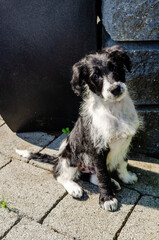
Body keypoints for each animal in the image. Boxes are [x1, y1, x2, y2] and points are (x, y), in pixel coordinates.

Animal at [16, 46, 140, 211]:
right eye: (95, 76)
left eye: (115, 66)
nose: (115, 89)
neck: (114, 110)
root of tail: (59, 157)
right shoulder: (97, 150)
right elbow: (102, 176)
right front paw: (107, 199)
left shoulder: (126, 142)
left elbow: (123, 162)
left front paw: (126, 177)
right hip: (70, 157)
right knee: (59, 173)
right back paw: (74, 188)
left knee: (90, 175)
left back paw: (113, 182)